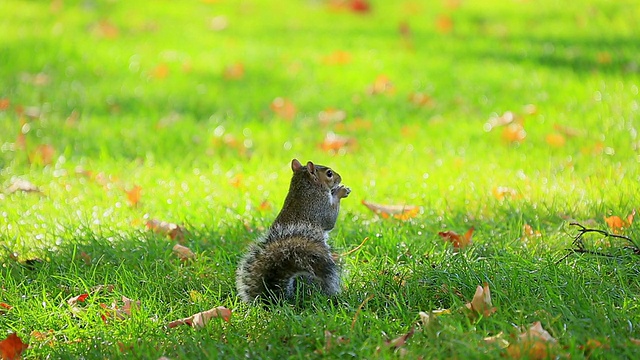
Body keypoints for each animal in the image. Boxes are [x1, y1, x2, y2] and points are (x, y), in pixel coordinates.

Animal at [238, 159, 352, 302]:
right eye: (329, 173)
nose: (340, 177)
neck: (304, 186)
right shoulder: (319, 205)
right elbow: (330, 220)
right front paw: (340, 191)